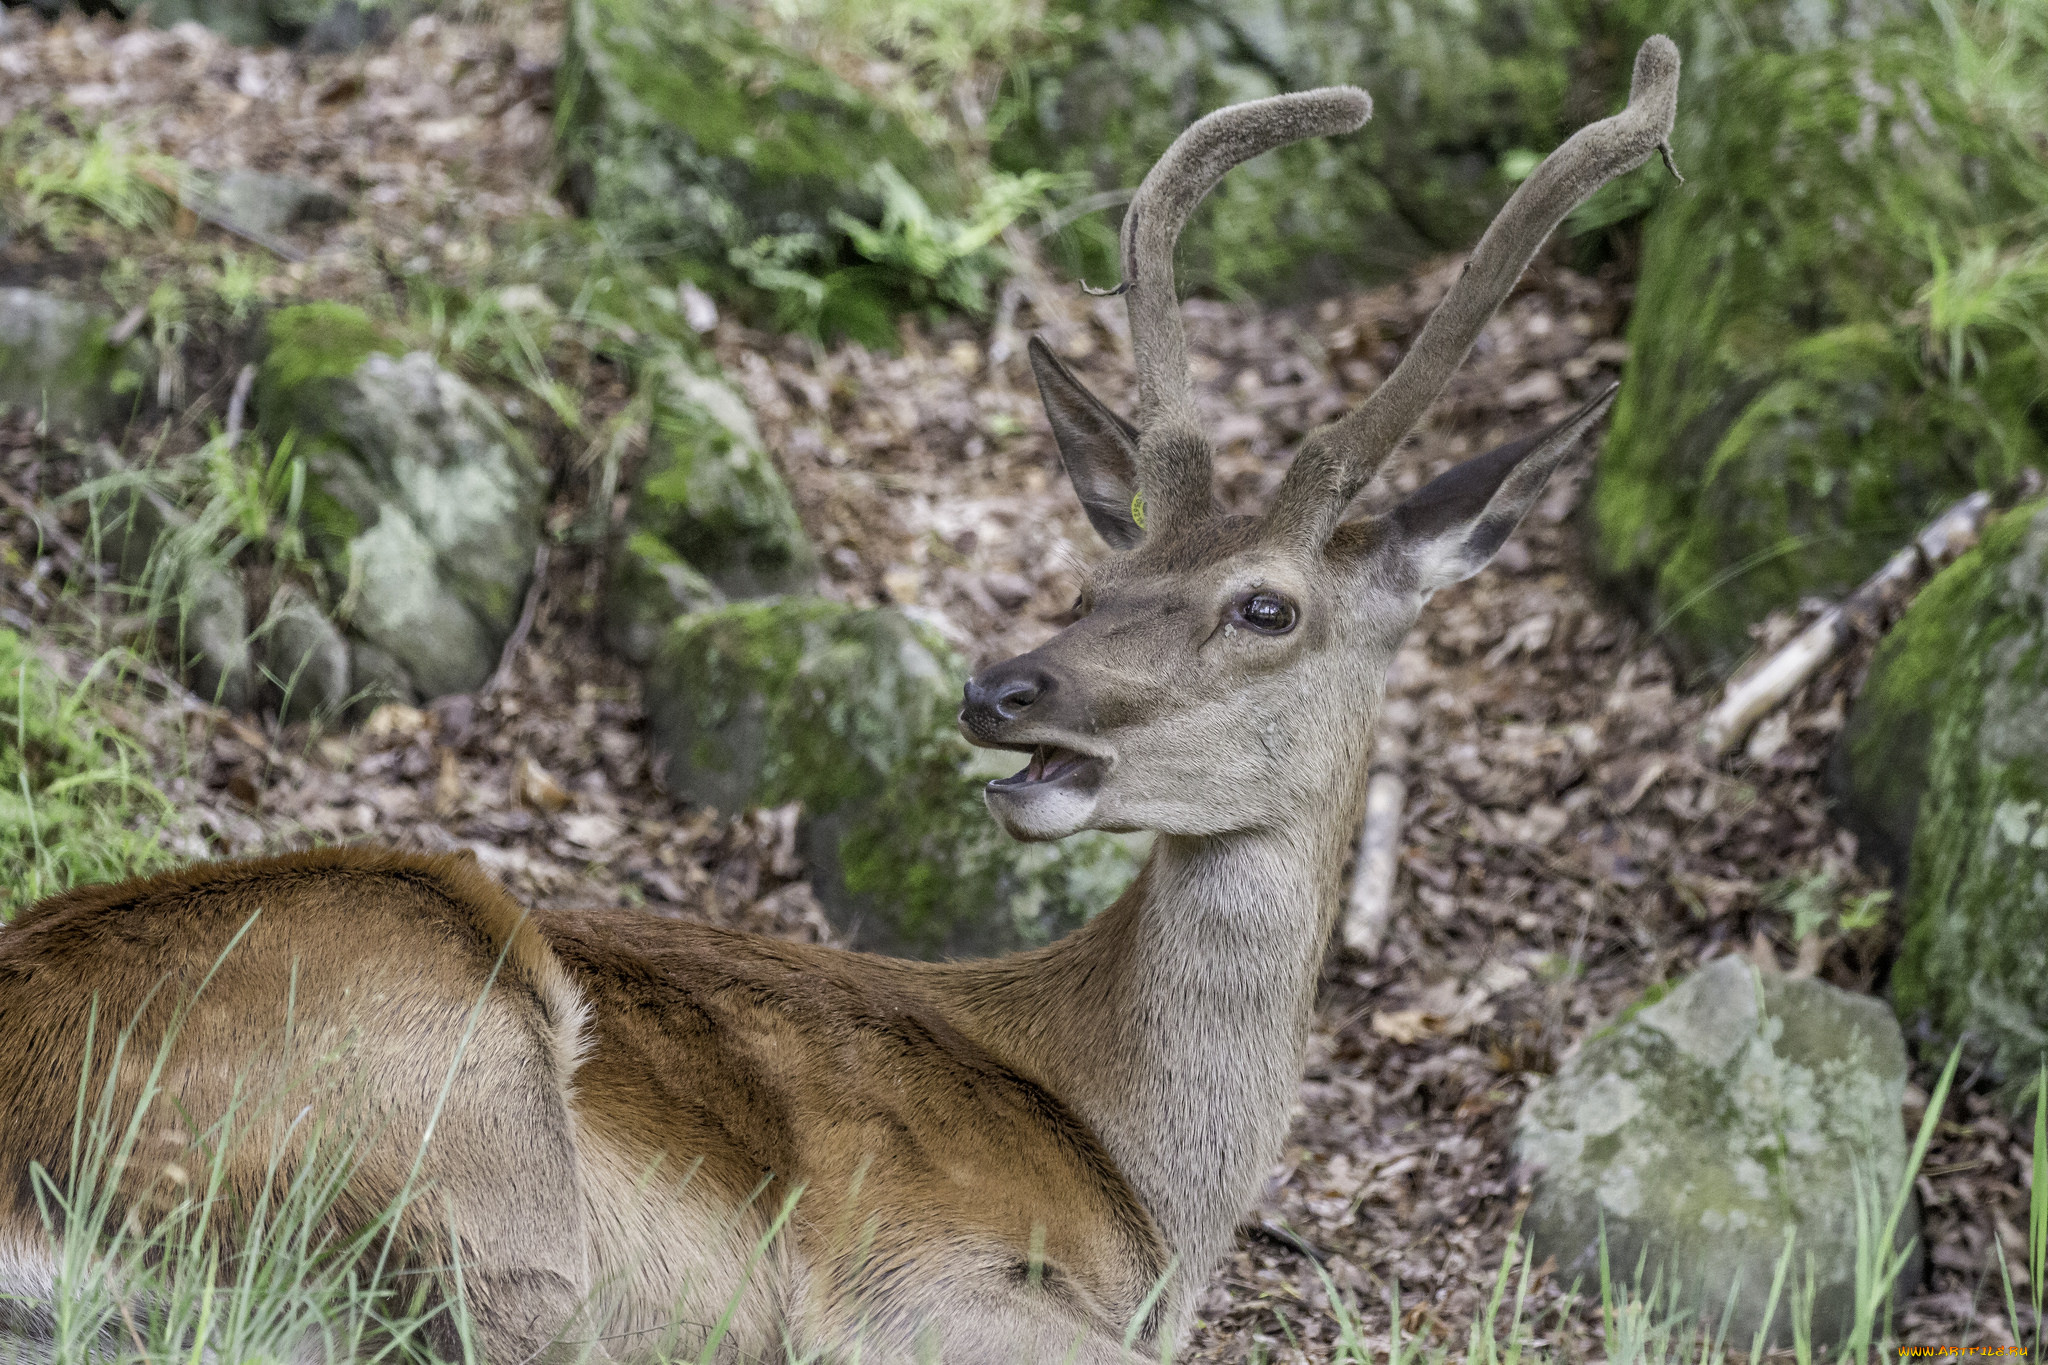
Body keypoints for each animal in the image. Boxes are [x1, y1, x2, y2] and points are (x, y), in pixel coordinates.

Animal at [0, 34, 1679, 1365]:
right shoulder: (908, 1282)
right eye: (1100, 575)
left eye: (1265, 603)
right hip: (463, 1117)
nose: (1003, 687)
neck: (1149, 1193)